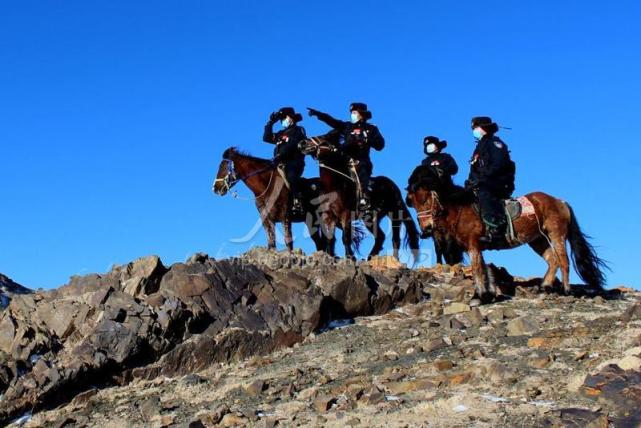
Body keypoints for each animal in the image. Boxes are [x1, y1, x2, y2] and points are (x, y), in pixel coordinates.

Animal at [300, 132, 420, 262]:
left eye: (324, 139)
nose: (302, 143)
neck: (334, 187)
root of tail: (391, 184)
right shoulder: (329, 217)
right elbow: (330, 238)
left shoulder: (346, 214)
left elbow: (345, 237)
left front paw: (350, 257)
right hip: (370, 219)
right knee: (380, 237)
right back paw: (370, 257)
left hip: (394, 214)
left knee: (395, 239)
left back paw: (394, 259)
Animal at [408, 184, 608, 300]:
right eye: (414, 204)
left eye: (427, 200)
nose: (426, 229)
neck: (461, 210)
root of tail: (561, 202)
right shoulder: (477, 247)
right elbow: (483, 268)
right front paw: (487, 293)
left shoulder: (473, 244)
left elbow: (477, 269)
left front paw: (480, 296)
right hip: (537, 240)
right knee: (553, 260)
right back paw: (544, 286)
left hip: (556, 234)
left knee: (564, 261)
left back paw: (566, 290)